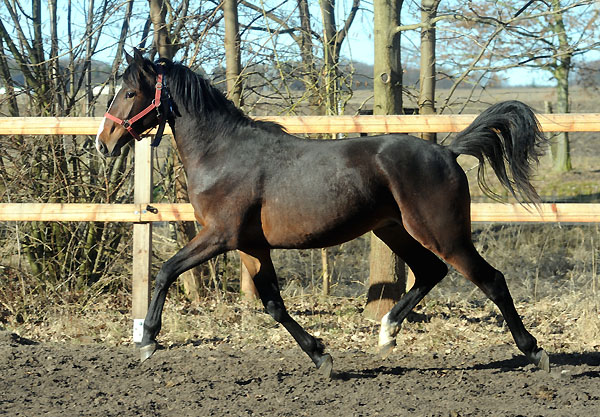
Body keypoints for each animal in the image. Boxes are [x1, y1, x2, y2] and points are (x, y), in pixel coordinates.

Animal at [96, 49, 552, 376]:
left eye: (130, 92)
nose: (105, 142)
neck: (222, 153)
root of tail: (448, 151)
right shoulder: (251, 246)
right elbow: (274, 305)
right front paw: (321, 355)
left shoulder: (219, 236)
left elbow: (165, 271)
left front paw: (148, 340)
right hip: (394, 230)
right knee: (429, 272)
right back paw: (386, 334)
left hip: (444, 233)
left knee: (491, 280)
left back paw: (535, 352)